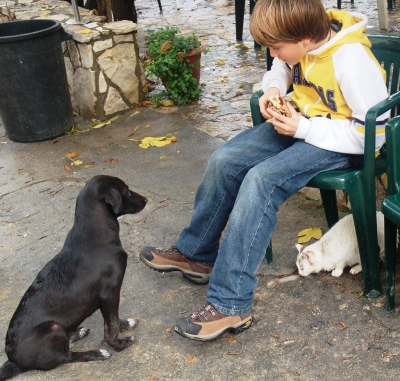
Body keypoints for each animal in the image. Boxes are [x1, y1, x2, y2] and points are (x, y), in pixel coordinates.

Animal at [0, 175, 148, 380]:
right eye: (125, 191)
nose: (146, 200)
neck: (95, 234)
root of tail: (13, 360)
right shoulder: (109, 292)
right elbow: (110, 325)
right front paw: (119, 344)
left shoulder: (108, 297)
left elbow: (114, 318)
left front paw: (125, 325)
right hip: (52, 329)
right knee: (65, 356)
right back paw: (96, 353)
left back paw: (76, 333)